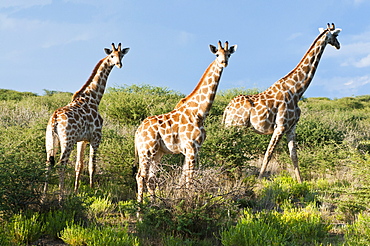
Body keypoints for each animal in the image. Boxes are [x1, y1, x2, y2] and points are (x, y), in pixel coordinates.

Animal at [45, 43, 130, 199]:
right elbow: (92, 166)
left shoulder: (82, 140)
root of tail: (54, 119)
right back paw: (60, 196)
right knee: (61, 164)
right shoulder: (96, 138)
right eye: (112, 55)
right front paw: (92, 190)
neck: (94, 99)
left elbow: (79, 165)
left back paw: (43, 196)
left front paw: (76, 190)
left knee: (48, 163)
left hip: (51, 140)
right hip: (67, 141)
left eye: (122, 55)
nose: (119, 64)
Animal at [134, 40, 236, 203]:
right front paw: (189, 200)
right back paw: (140, 208)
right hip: (147, 150)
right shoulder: (192, 146)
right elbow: (190, 178)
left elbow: (184, 177)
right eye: (217, 54)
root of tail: (137, 132)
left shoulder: (191, 149)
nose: (224, 62)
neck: (200, 113)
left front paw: (182, 198)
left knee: (151, 179)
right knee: (141, 176)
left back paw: (153, 205)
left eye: (229, 54)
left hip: (158, 153)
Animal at [223, 23, 342, 183]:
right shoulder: (280, 126)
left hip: (233, 127)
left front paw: (300, 182)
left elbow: (294, 156)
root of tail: (227, 108)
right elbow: (268, 154)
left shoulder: (291, 128)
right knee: (231, 148)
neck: (297, 90)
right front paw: (259, 181)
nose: (339, 45)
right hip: (237, 127)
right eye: (336, 35)